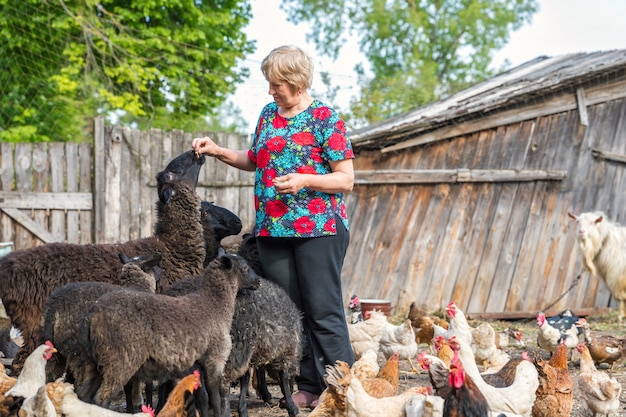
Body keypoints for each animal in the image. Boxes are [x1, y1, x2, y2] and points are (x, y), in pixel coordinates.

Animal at [77, 254, 258, 416]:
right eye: (244, 268)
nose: (258, 282)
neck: (214, 304)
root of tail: (91, 314)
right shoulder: (215, 359)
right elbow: (215, 398)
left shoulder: (195, 364)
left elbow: (203, 397)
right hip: (119, 360)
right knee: (102, 399)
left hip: (94, 360)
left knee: (84, 395)